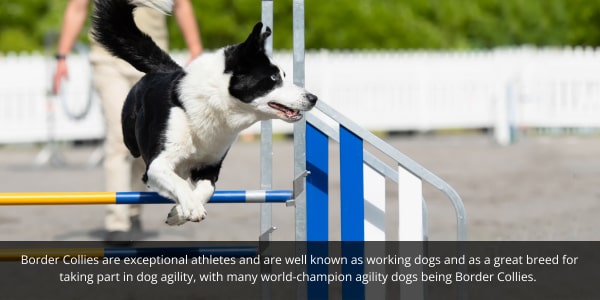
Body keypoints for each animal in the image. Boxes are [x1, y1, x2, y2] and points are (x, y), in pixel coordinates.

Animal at [91, 0, 316, 225]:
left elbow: (207, 189)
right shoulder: (157, 164)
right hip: (131, 138)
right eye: (273, 78)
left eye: (284, 75)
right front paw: (191, 208)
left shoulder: (210, 166)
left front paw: (179, 213)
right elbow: (179, 184)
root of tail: (165, 69)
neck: (213, 105)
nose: (313, 98)